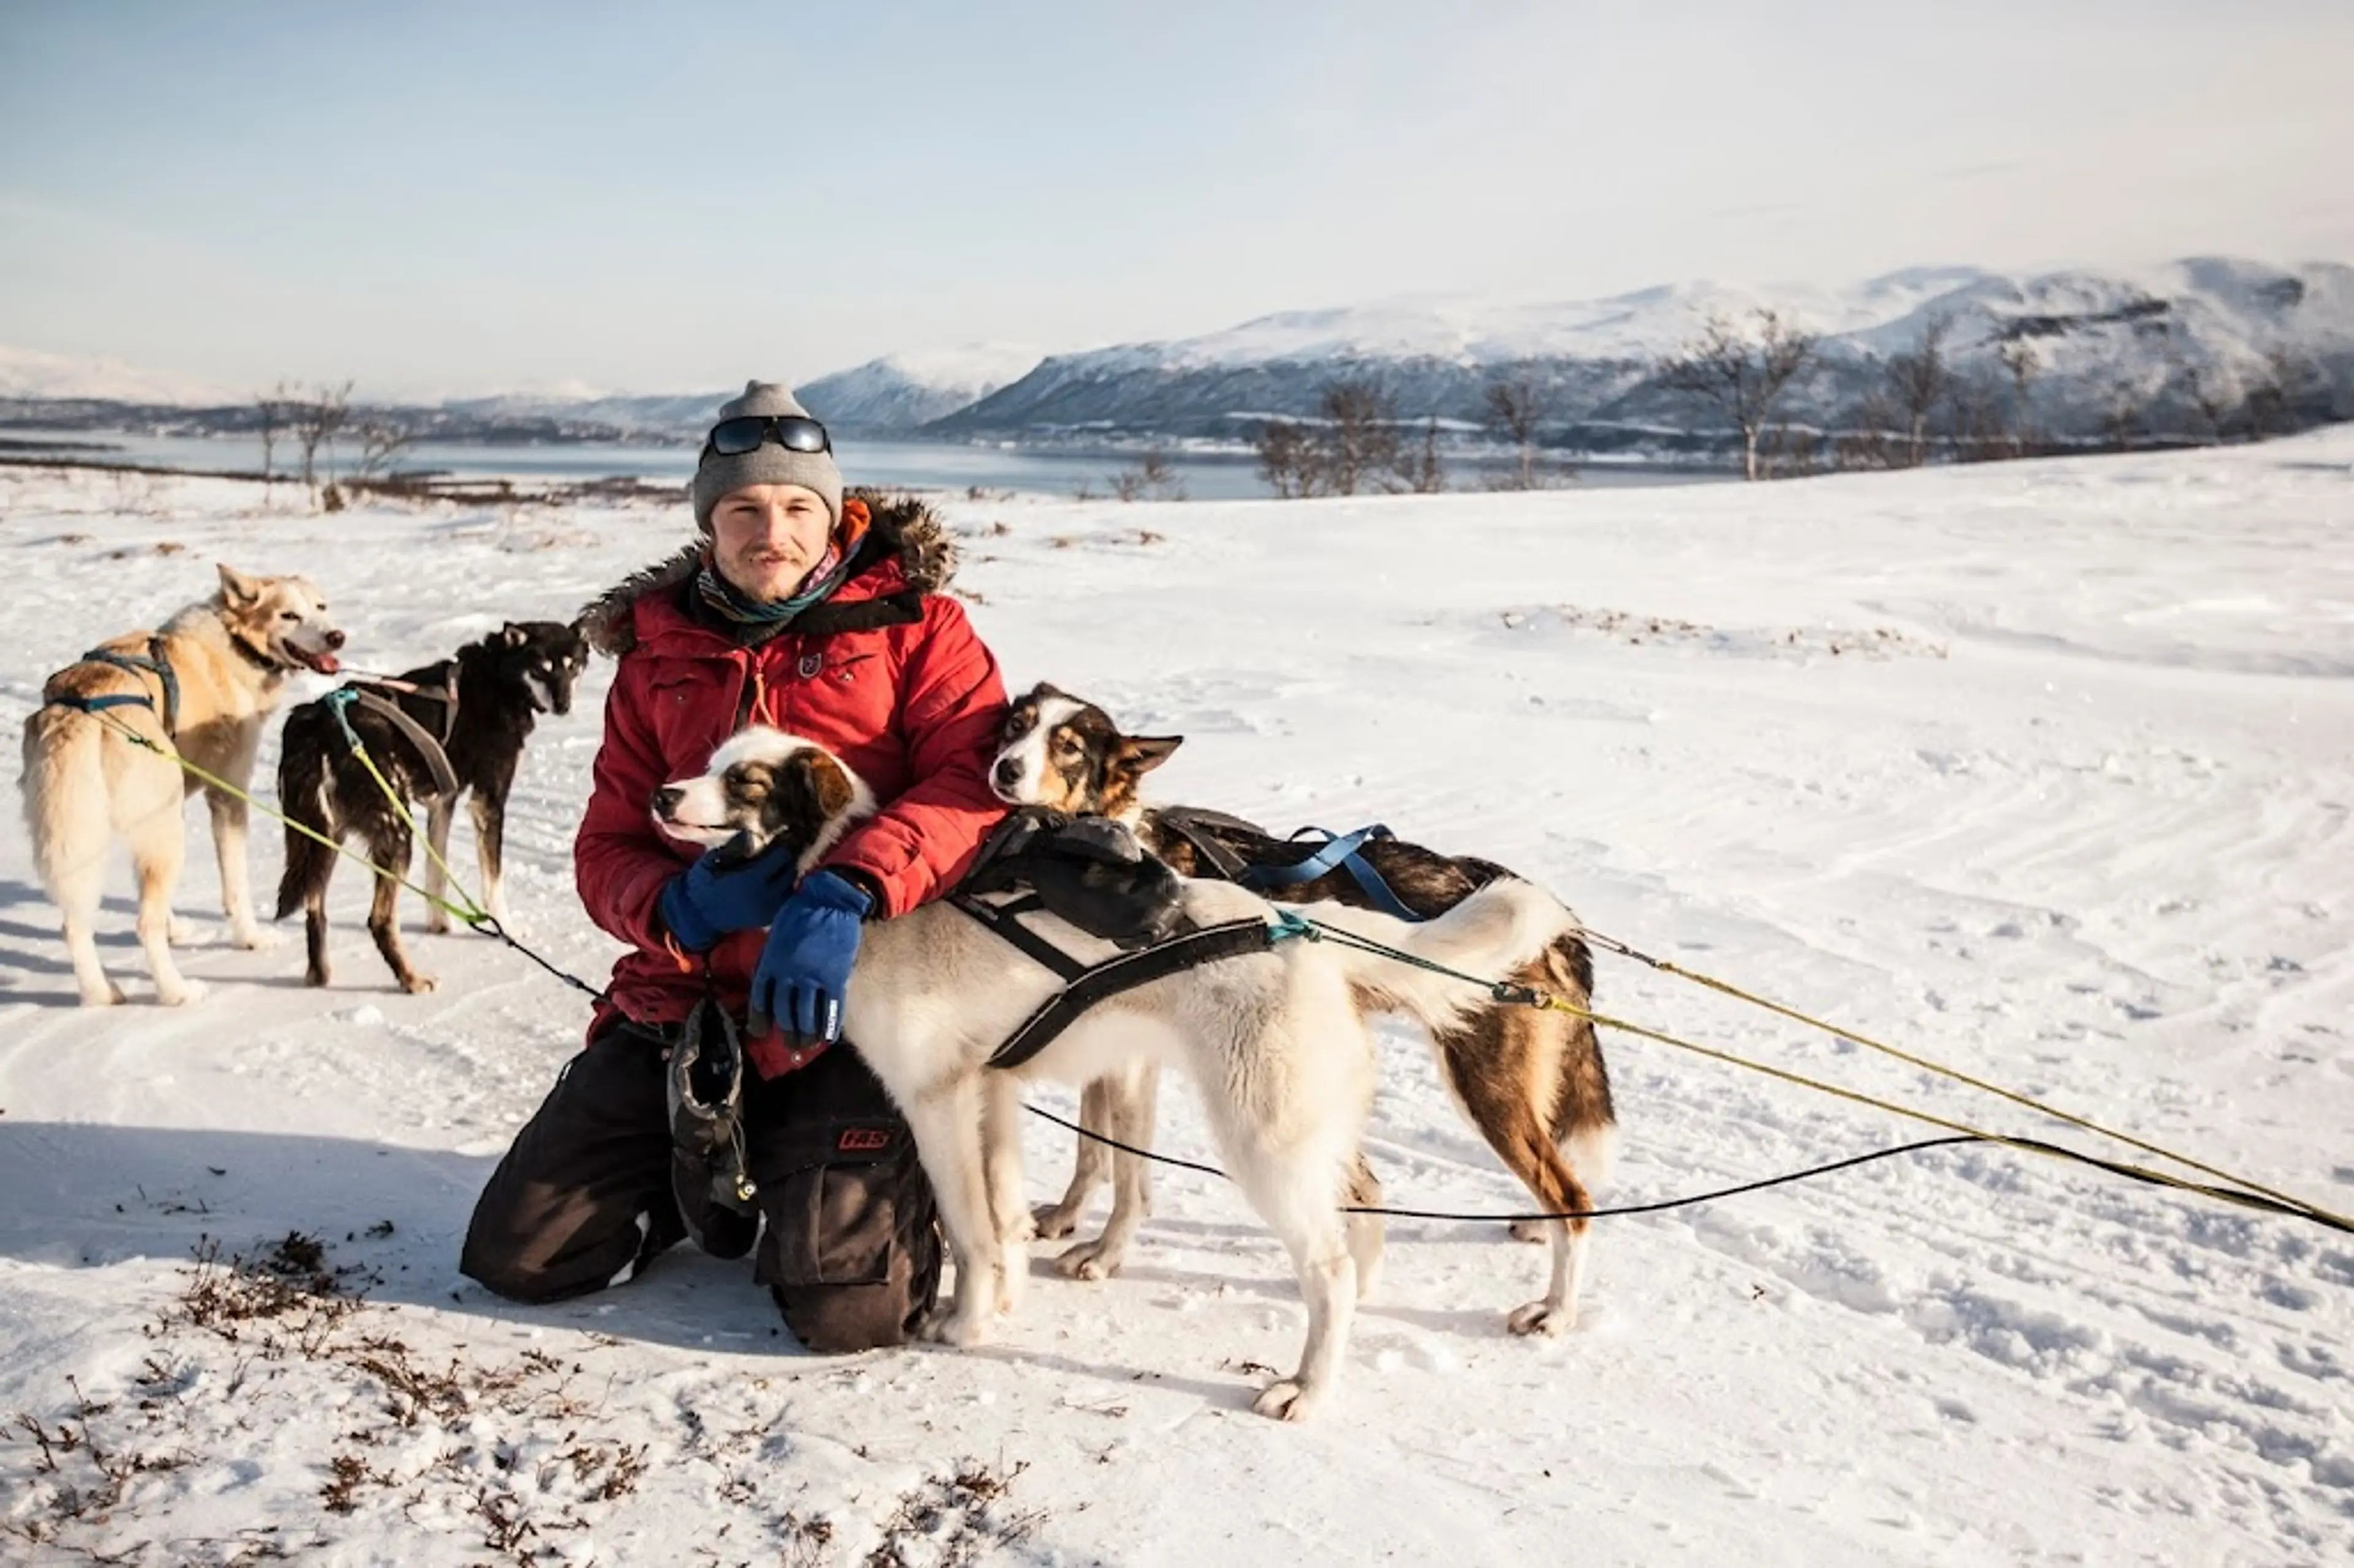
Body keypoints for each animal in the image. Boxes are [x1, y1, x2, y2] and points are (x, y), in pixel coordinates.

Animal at [21, 562, 343, 1003]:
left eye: (321, 607)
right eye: (289, 615)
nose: (336, 636)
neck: (235, 643)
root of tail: (84, 711)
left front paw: (178, 928)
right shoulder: (227, 795)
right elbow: (236, 886)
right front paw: (251, 939)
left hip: (88, 840)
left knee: (75, 925)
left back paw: (101, 993)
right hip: (164, 829)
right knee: (145, 925)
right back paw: (176, 991)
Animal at [273, 612, 588, 989]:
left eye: (572, 667)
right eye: (542, 668)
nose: (564, 705)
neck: (498, 678)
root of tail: (319, 726)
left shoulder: (444, 803)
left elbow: (437, 870)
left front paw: (438, 924)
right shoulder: (488, 802)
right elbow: (493, 883)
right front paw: (508, 929)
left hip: (324, 838)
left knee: (314, 908)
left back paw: (320, 975)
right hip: (395, 833)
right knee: (379, 920)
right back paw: (411, 980)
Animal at [654, 720, 1582, 1412]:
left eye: (746, 782)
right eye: (710, 761)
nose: (664, 792)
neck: (869, 913)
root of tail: (1299, 928)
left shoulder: (936, 1103)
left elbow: (972, 1229)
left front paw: (966, 1324)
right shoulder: (992, 1093)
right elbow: (1005, 1216)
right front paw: (1007, 1296)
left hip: (1263, 1142)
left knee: (1330, 1265)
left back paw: (1309, 1388)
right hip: (1301, 1125)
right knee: (1361, 1211)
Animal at [988, 682, 1619, 1328]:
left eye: (1067, 748)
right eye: (1017, 724)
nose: (1006, 768)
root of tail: (1559, 919)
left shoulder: (1133, 1062)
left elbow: (1125, 1168)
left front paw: (1107, 1253)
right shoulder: (1100, 1044)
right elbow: (1092, 1149)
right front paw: (1067, 1217)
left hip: (1485, 1087)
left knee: (1570, 1196)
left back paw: (1556, 1311)